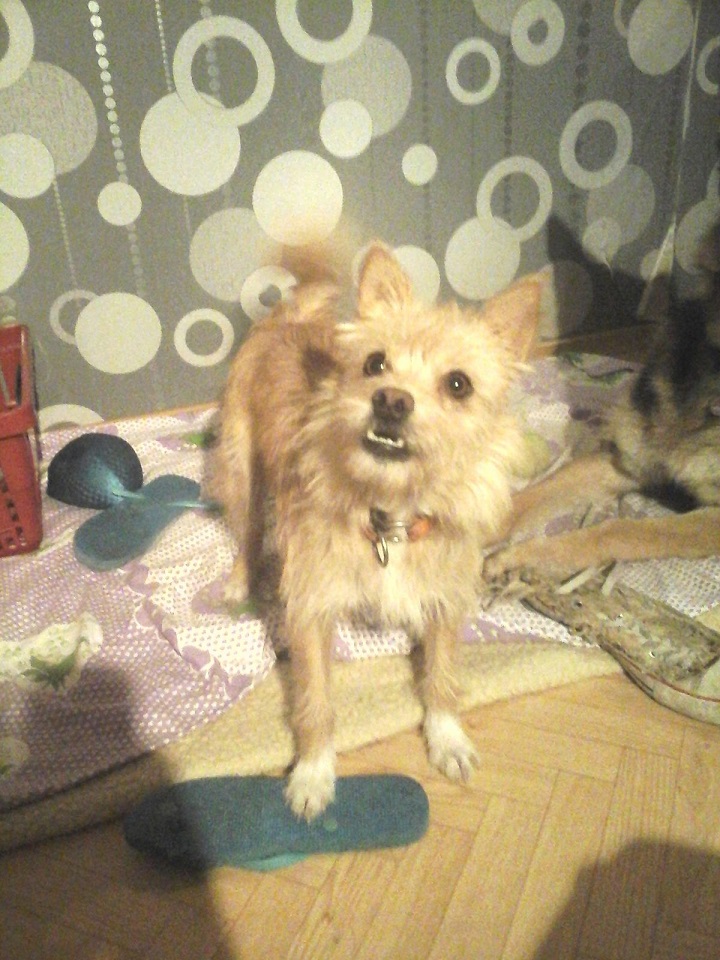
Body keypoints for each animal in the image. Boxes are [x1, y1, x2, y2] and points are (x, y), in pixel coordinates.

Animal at [208, 238, 544, 819]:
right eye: (374, 363)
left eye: (459, 384)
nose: (390, 398)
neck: (390, 511)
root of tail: (289, 318)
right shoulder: (311, 612)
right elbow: (316, 702)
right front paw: (314, 772)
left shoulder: (443, 601)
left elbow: (441, 676)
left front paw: (447, 737)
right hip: (241, 467)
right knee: (248, 530)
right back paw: (241, 579)